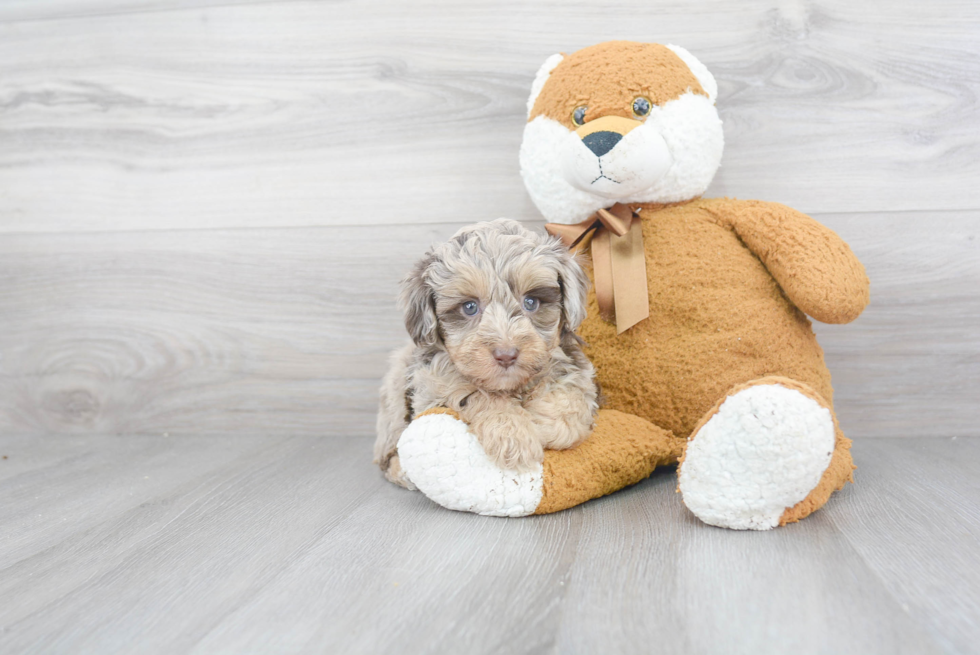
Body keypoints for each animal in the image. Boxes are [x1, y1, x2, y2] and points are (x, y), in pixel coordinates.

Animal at [374, 218, 596, 490]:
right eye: (469, 307)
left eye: (531, 302)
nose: (506, 355)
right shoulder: (432, 386)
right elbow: (472, 393)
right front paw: (513, 435)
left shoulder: (573, 364)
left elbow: (570, 397)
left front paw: (549, 426)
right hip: (395, 392)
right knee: (386, 452)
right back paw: (402, 471)